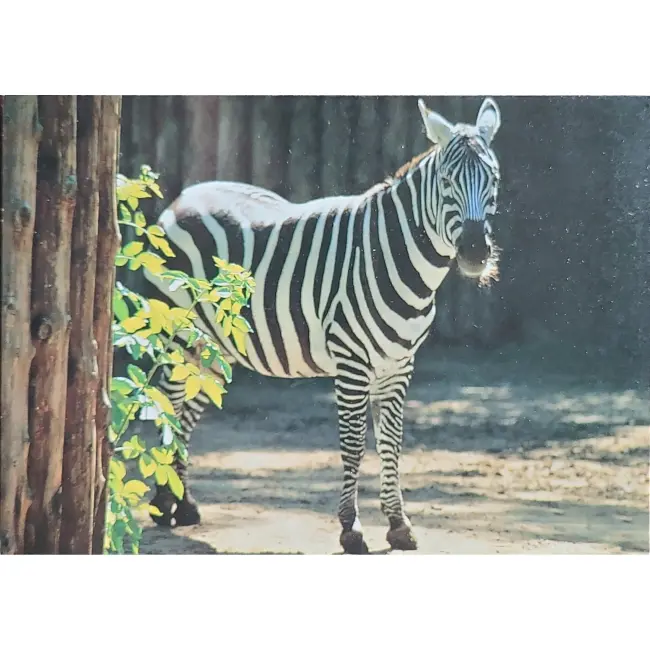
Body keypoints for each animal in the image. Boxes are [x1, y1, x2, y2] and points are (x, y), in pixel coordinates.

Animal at [144, 97, 502, 554]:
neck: (398, 256)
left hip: (216, 346)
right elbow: (354, 444)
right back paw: (161, 503)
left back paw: (185, 504)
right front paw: (351, 528)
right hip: (178, 332)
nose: (474, 252)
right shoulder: (352, 362)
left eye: (493, 179)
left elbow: (392, 442)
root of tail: (183, 196)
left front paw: (398, 523)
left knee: (187, 410)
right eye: (445, 181)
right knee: (170, 404)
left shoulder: (399, 364)